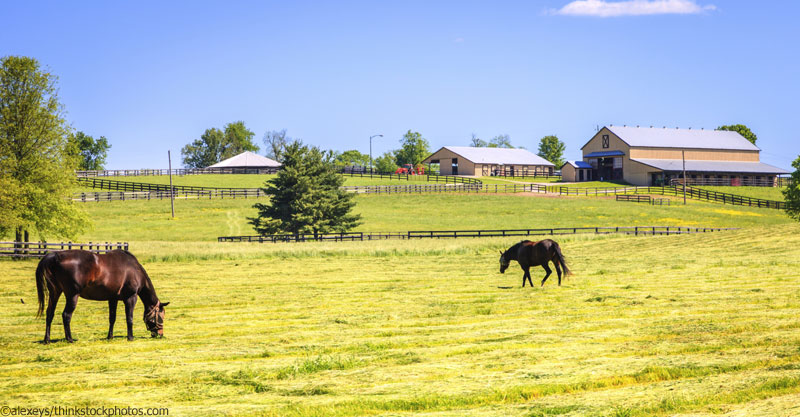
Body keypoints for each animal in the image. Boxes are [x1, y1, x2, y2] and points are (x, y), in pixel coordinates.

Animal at [35, 249, 170, 342]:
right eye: (161, 315)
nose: (160, 334)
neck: (134, 269)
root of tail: (55, 255)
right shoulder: (131, 298)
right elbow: (129, 318)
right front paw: (130, 337)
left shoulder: (113, 299)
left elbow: (112, 318)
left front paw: (110, 336)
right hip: (72, 295)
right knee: (66, 315)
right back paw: (70, 339)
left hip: (55, 292)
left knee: (50, 313)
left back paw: (47, 339)